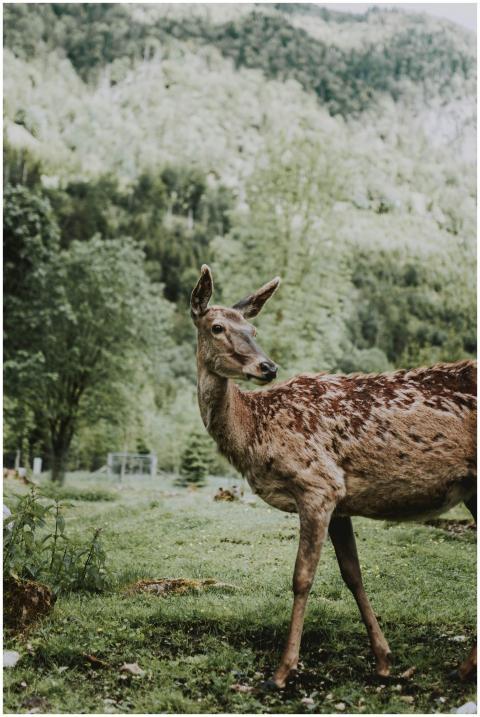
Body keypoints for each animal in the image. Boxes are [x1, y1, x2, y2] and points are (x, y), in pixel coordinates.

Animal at [190, 265, 477, 689]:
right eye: (217, 327)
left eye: (253, 329)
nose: (268, 367)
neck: (256, 430)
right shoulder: (341, 501)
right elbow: (352, 574)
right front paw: (383, 659)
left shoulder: (317, 483)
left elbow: (302, 577)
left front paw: (282, 670)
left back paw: (463, 667)